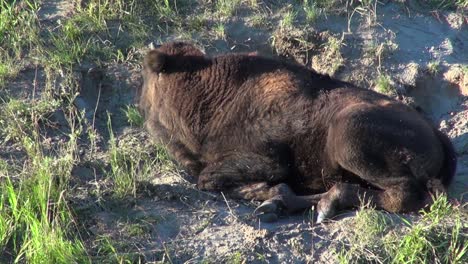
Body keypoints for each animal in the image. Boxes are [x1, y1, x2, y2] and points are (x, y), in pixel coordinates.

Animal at [137, 41, 456, 223]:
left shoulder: (267, 162)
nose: (141, 107)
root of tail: (435, 131)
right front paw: (271, 198)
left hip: (349, 138)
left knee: (402, 194)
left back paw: (324, 205)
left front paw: (265, 193)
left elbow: (208, 179)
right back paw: (288, 205)